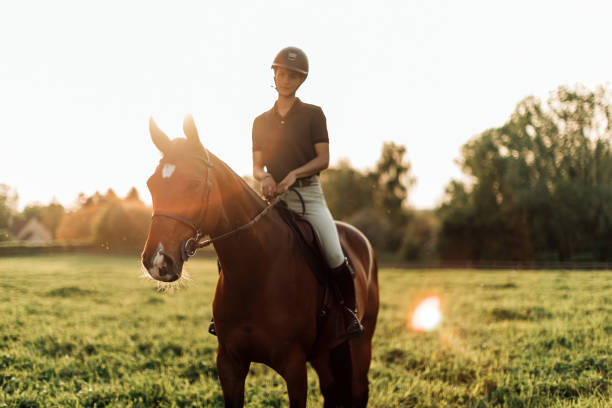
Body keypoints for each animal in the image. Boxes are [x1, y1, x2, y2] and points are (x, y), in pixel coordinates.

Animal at [142, 115, 378, 408]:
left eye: (194, 183)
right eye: (151, 184)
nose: (157, 261)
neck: (256, 271)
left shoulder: (294, 367)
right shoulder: (229, 363)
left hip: (361, 343)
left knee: (358, 390)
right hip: (325, 352)